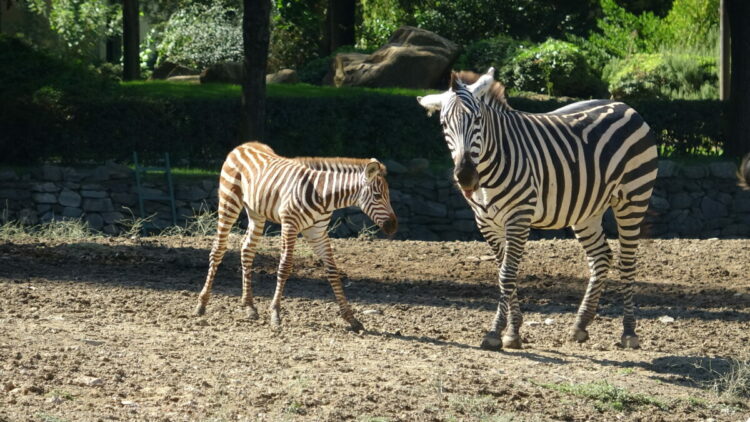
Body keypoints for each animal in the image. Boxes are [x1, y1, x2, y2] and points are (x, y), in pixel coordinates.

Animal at [195, 142, 398, 332]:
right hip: (229, 201)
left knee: (247, 249)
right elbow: (285, 267)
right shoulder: (290, 225)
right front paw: (275, 314)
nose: (393, 226)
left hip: (255, 212)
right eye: (377, 196)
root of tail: (244, 145)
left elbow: (333, 271)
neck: (323, 195)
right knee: (218, 249)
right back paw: (201, 305)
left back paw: (250, 307)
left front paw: (351, 319)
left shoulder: (318, 233)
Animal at [417, 68, 658, 350]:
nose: (466, 176)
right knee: (601, 256)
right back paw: (580, 325)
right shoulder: (486, 222)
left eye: (477, 119)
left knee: (627, 262)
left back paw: (629, 332)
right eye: (445, 125)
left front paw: (496, 332)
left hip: (633, 197)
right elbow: (503, 273)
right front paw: (513, 331)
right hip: (587, 210)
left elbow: (507, 275)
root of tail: (624, 105)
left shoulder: (519, 218)